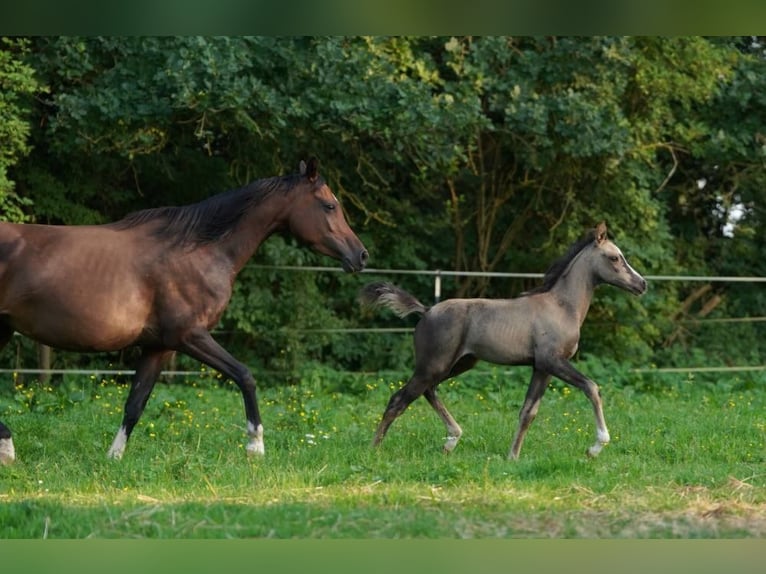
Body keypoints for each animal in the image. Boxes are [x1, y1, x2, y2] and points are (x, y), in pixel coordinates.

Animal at [0, 160, 368, 466]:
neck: (198, 250)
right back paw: (8, 449)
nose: (361, 255)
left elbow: (135, 404)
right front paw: (255, 446)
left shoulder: (158, 347)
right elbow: (245, 375)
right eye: (329, 205)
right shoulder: (189, 336)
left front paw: (113, 458)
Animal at [362, 223, 648, 462]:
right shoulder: (553, 361)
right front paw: (595, 447)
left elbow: (528, 412)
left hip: (458, 364)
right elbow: (592, 387)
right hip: (434, 365)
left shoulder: (541, 368)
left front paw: (513, 456)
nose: (642, 284)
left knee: (427, 391)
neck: (562, 306)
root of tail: (426, 310)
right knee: (399, 399)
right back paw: (374, 449)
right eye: (615, 257)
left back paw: (451, 440)